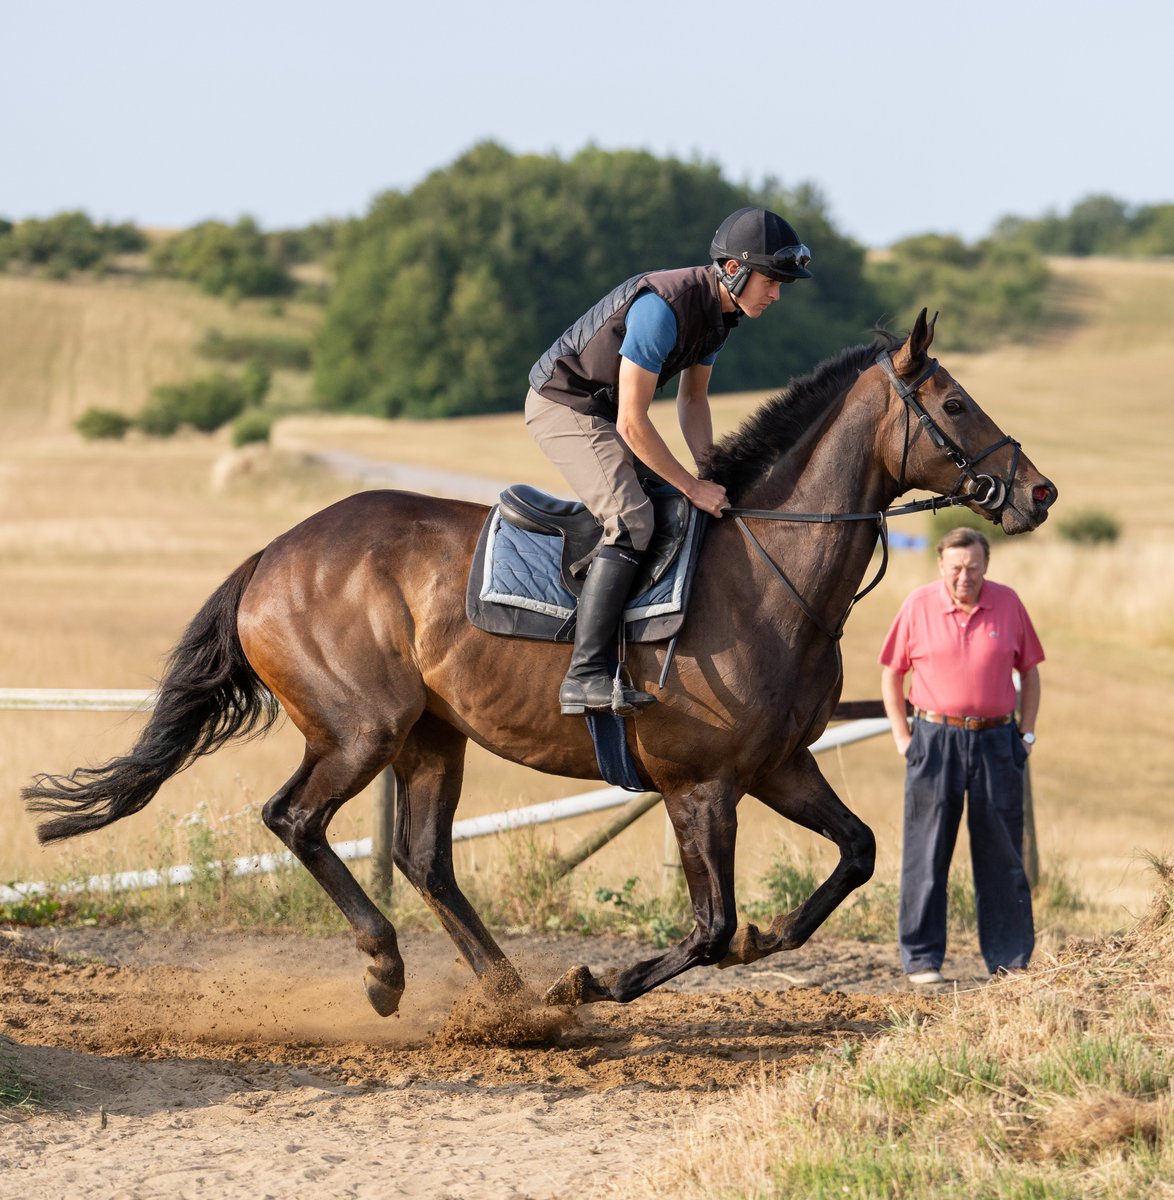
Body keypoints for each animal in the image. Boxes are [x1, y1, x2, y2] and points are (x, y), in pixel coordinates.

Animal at [24, 309, 1056, 1016]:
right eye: (955, 402)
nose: (1039, 491)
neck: (770, 568)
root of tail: (272, 555)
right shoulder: (698, 784)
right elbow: (710, 925)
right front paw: (601, 981)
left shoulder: (778, 764)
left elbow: (855, 853)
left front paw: (766, 940)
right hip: (361, 730)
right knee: (298, 818)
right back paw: (390, 968)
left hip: (432, 736)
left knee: (424, 857)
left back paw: (509, 993)